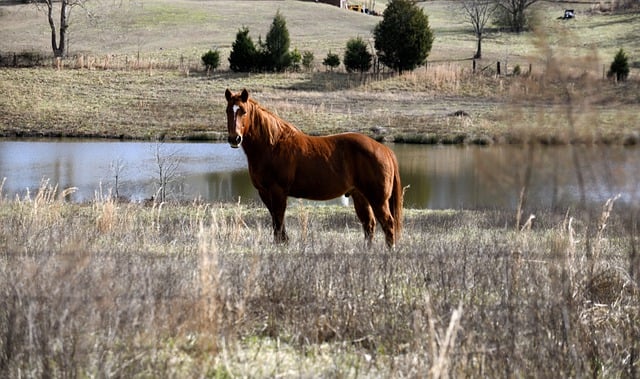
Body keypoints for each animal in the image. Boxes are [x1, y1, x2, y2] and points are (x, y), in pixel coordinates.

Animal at [225, 89, 404, 249]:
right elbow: (275, 220)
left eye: (244, 111)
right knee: (369, 224)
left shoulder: (278, 191)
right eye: (228, 111)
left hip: (378, 199)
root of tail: (384, 149)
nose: (235, 139)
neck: (273, 144)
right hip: (360, 196)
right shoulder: (264, 192)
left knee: (388, 224)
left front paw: (281, 245)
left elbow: (279, 219)